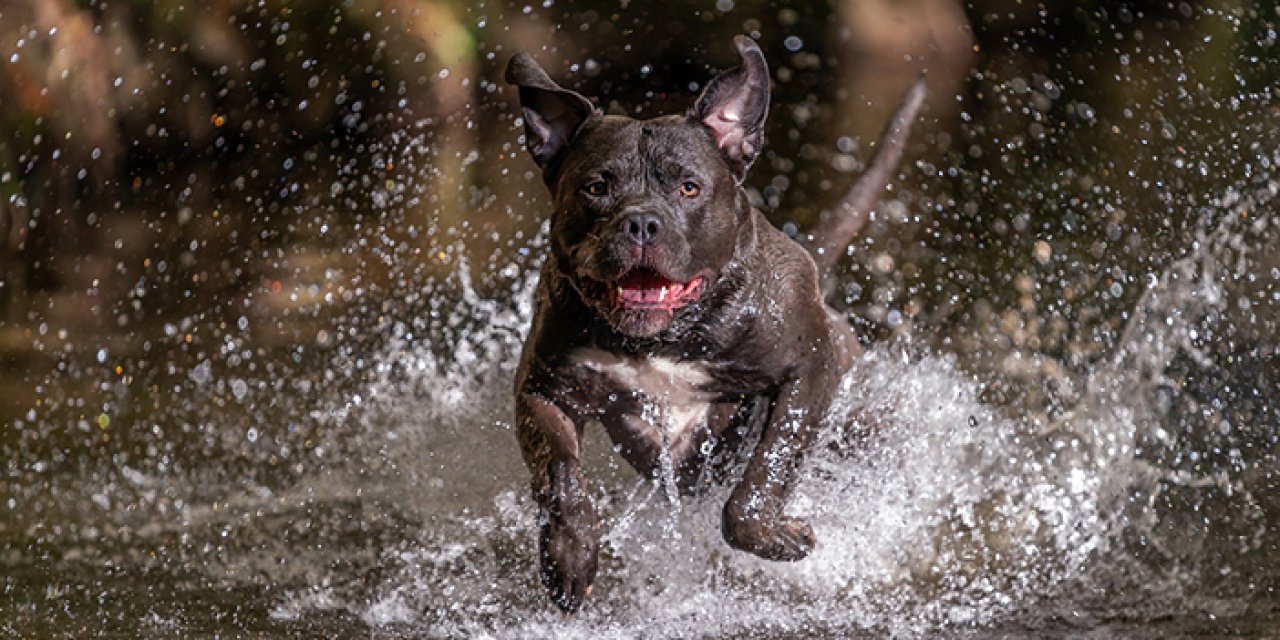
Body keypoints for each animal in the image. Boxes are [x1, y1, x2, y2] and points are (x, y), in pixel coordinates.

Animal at [504, 36, 926, 614]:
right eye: (596, 186)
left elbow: (767, 470)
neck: (665, 338)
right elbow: (561, 473)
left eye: (688, 187)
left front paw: (780, 537)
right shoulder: (545, 388)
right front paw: (569, 557)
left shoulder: (813, 363)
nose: (641, 221)